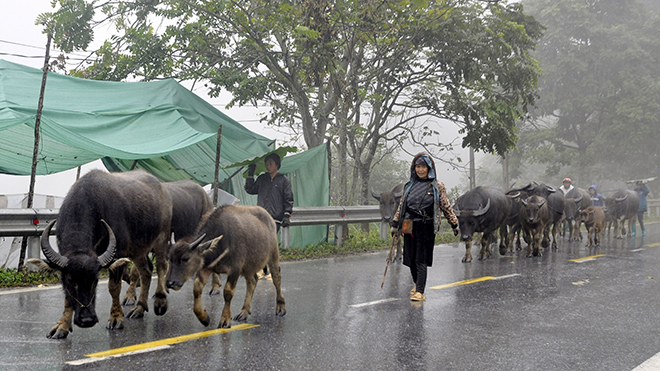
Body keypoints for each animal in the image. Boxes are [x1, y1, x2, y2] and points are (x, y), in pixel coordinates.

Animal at [28, 170, 173, 338]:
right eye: (71, 281)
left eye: (95, 281)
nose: (87, 320)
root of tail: (162, 189)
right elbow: (66, 296)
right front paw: (62, 326)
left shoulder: (119, 254)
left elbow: (114, 287)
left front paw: (116, 318)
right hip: (138, 249)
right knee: (147, 271)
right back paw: (139, 309)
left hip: (162, 237)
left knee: (161, 266)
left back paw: (160, 301)